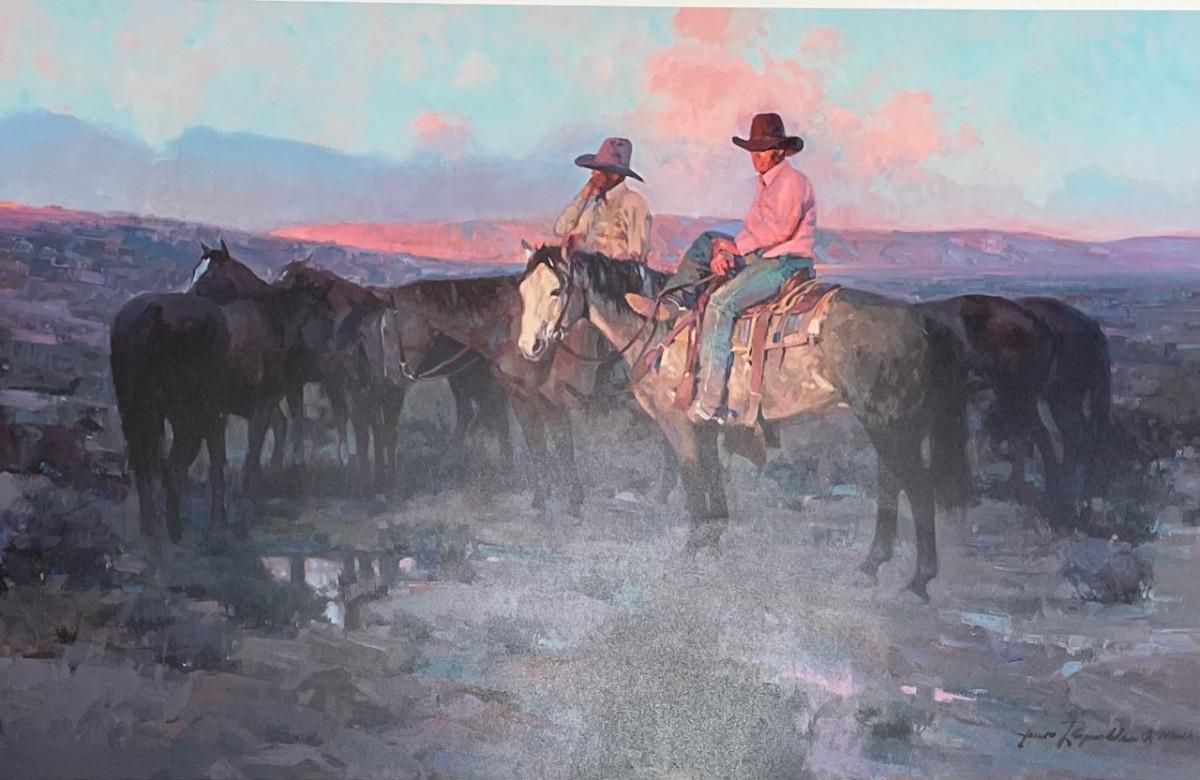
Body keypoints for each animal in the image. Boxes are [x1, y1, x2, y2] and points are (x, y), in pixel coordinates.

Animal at [518, 245, 971, 600]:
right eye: (522, 291)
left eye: (556, 290)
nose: (529, 346)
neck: (659, 329)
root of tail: (920, 319)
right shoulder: (704, 426)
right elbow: (712, 479)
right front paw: (714, 541)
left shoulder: (678, 425)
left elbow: (693, 482)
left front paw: (692, 550)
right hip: (894, 422)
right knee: (893, 482)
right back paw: (871, 565)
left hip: (888, 421)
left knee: (917, 486)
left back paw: (918, 580)